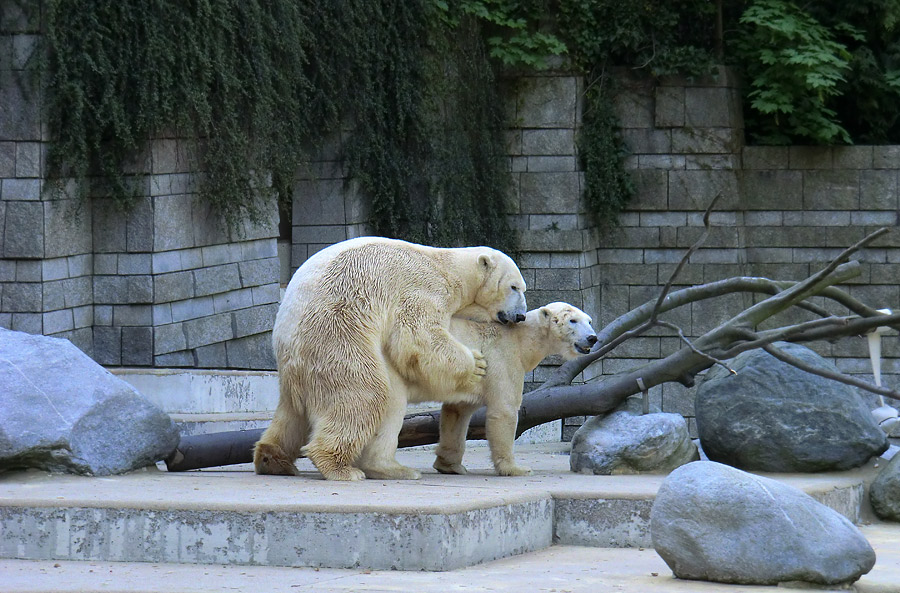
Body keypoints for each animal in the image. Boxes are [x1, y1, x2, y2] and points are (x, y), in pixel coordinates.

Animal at [253, 236, 528, 480]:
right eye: (514, 287)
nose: (521, 315)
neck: (449, 268)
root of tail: (285, 337)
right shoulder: (424, 288)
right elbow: (419, 334)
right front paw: (476, 365)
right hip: (335, 335)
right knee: (364, 394)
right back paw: (344, 468)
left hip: (298, 367)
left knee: (292, 414)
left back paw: (272, 459)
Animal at [416, 302, 596, 474]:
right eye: (573, 320)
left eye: (589, 321)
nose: (592, 338)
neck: (522, 340)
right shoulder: (503, 359)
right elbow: (504, 409)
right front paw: (516, 469)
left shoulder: (472, 381)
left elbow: (458, 412)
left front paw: (451, 465)